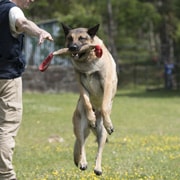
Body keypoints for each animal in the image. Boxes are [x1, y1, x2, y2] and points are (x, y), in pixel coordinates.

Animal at [61, 23, 118, 176]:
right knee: (81, 145)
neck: (87, 61)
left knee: (99, 150)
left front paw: (108, 122)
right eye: (70, 38)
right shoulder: (81, 84)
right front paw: (91, 117)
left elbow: (104, 106)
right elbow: (87, 102)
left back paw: (97, 168)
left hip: (102, 133)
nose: (72, 47)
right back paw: (83, 163)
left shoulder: (107, 83)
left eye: (82, 38)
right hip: (79, 127)